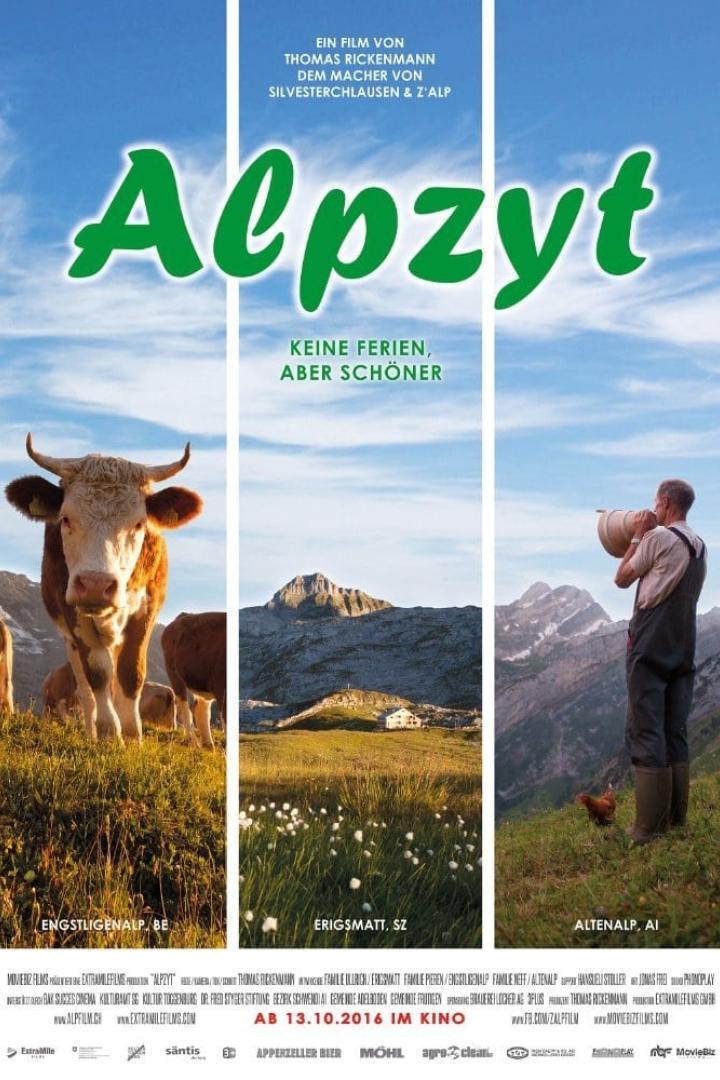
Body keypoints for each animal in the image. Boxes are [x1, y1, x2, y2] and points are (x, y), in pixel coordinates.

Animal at [5, 434, 202, 743]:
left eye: (139, 523)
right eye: (66, 518)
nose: (96, 585)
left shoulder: (147, 608)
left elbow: (131, 673)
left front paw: (132, 735)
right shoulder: (73, 613)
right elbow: (97, 675)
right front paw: (109, 733)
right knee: (86, 689)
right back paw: (92, 731)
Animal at [161, 611, 226, 750]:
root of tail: (185, 615)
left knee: (200, 709)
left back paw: (208, 745)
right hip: (174, 675)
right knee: (185, 707)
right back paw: (193, 742)